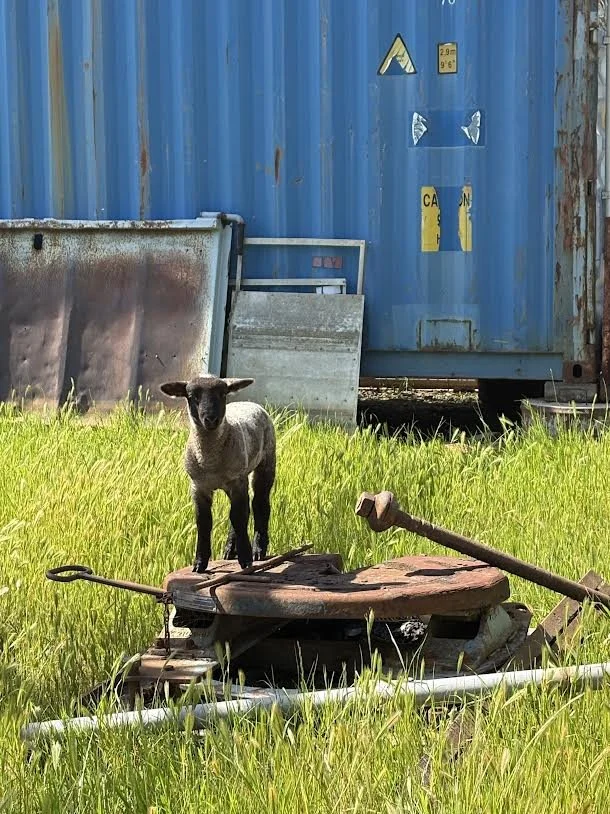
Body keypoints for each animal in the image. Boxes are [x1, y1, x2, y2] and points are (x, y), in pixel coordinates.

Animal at [160, 375, 276, 573]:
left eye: (222, 394)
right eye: (192, 396)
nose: (211, 419)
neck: (211, 460)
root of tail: (249, 402)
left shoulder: (237, 481)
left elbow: (239, 516)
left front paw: (246, 559)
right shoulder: (198, 486)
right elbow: (204, 521)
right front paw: (200, 563)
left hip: (266, 463)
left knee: (259, 504)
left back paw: (258, 549)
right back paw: (230, 550)